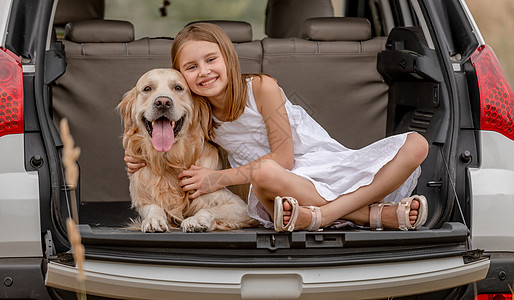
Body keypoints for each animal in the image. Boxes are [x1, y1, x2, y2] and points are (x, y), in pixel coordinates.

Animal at [115, 68, 253, 232]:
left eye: (178, 88)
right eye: (147, 88)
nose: (163, 103)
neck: (170, 161)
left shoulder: (240, 206)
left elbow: (208, 209)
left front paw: (196, 220)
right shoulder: (144, 200)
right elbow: (154, 207)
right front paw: (154, 219)